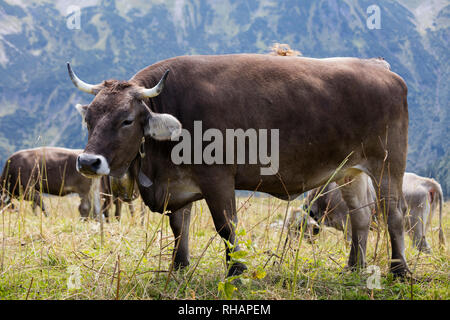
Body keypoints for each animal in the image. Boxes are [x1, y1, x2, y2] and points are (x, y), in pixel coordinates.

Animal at [66, 52, 408, 276]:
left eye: (126, 120)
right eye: (89, 118)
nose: (88, 161)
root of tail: (379, 67)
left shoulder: (218, 178)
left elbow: (226, 226)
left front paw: (237, 269)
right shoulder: (177, 184)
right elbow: (180, 228)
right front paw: (179, 267)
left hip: (388, 164)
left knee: (393, 214)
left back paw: (399, 270)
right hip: (350, 171)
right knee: (360, 217)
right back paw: (354, 267)